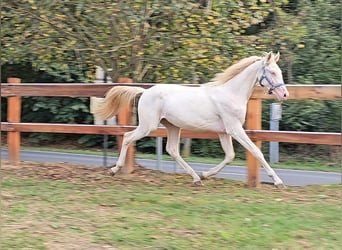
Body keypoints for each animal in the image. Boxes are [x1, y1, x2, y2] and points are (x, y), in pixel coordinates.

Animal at [93, 52, 288, 188]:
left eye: (279, 72)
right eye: (272, 72)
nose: (285, 94)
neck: (231, 94)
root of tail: (145, 91)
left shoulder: (224, 132)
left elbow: (230, 156)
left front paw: (204, 175)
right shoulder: (235, 129)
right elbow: (256, 151)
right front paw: (278, 182)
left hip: (172, 126)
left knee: (172, 150)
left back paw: (196, 179)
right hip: (148, 126)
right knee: (127, 137)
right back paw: (114, 170)